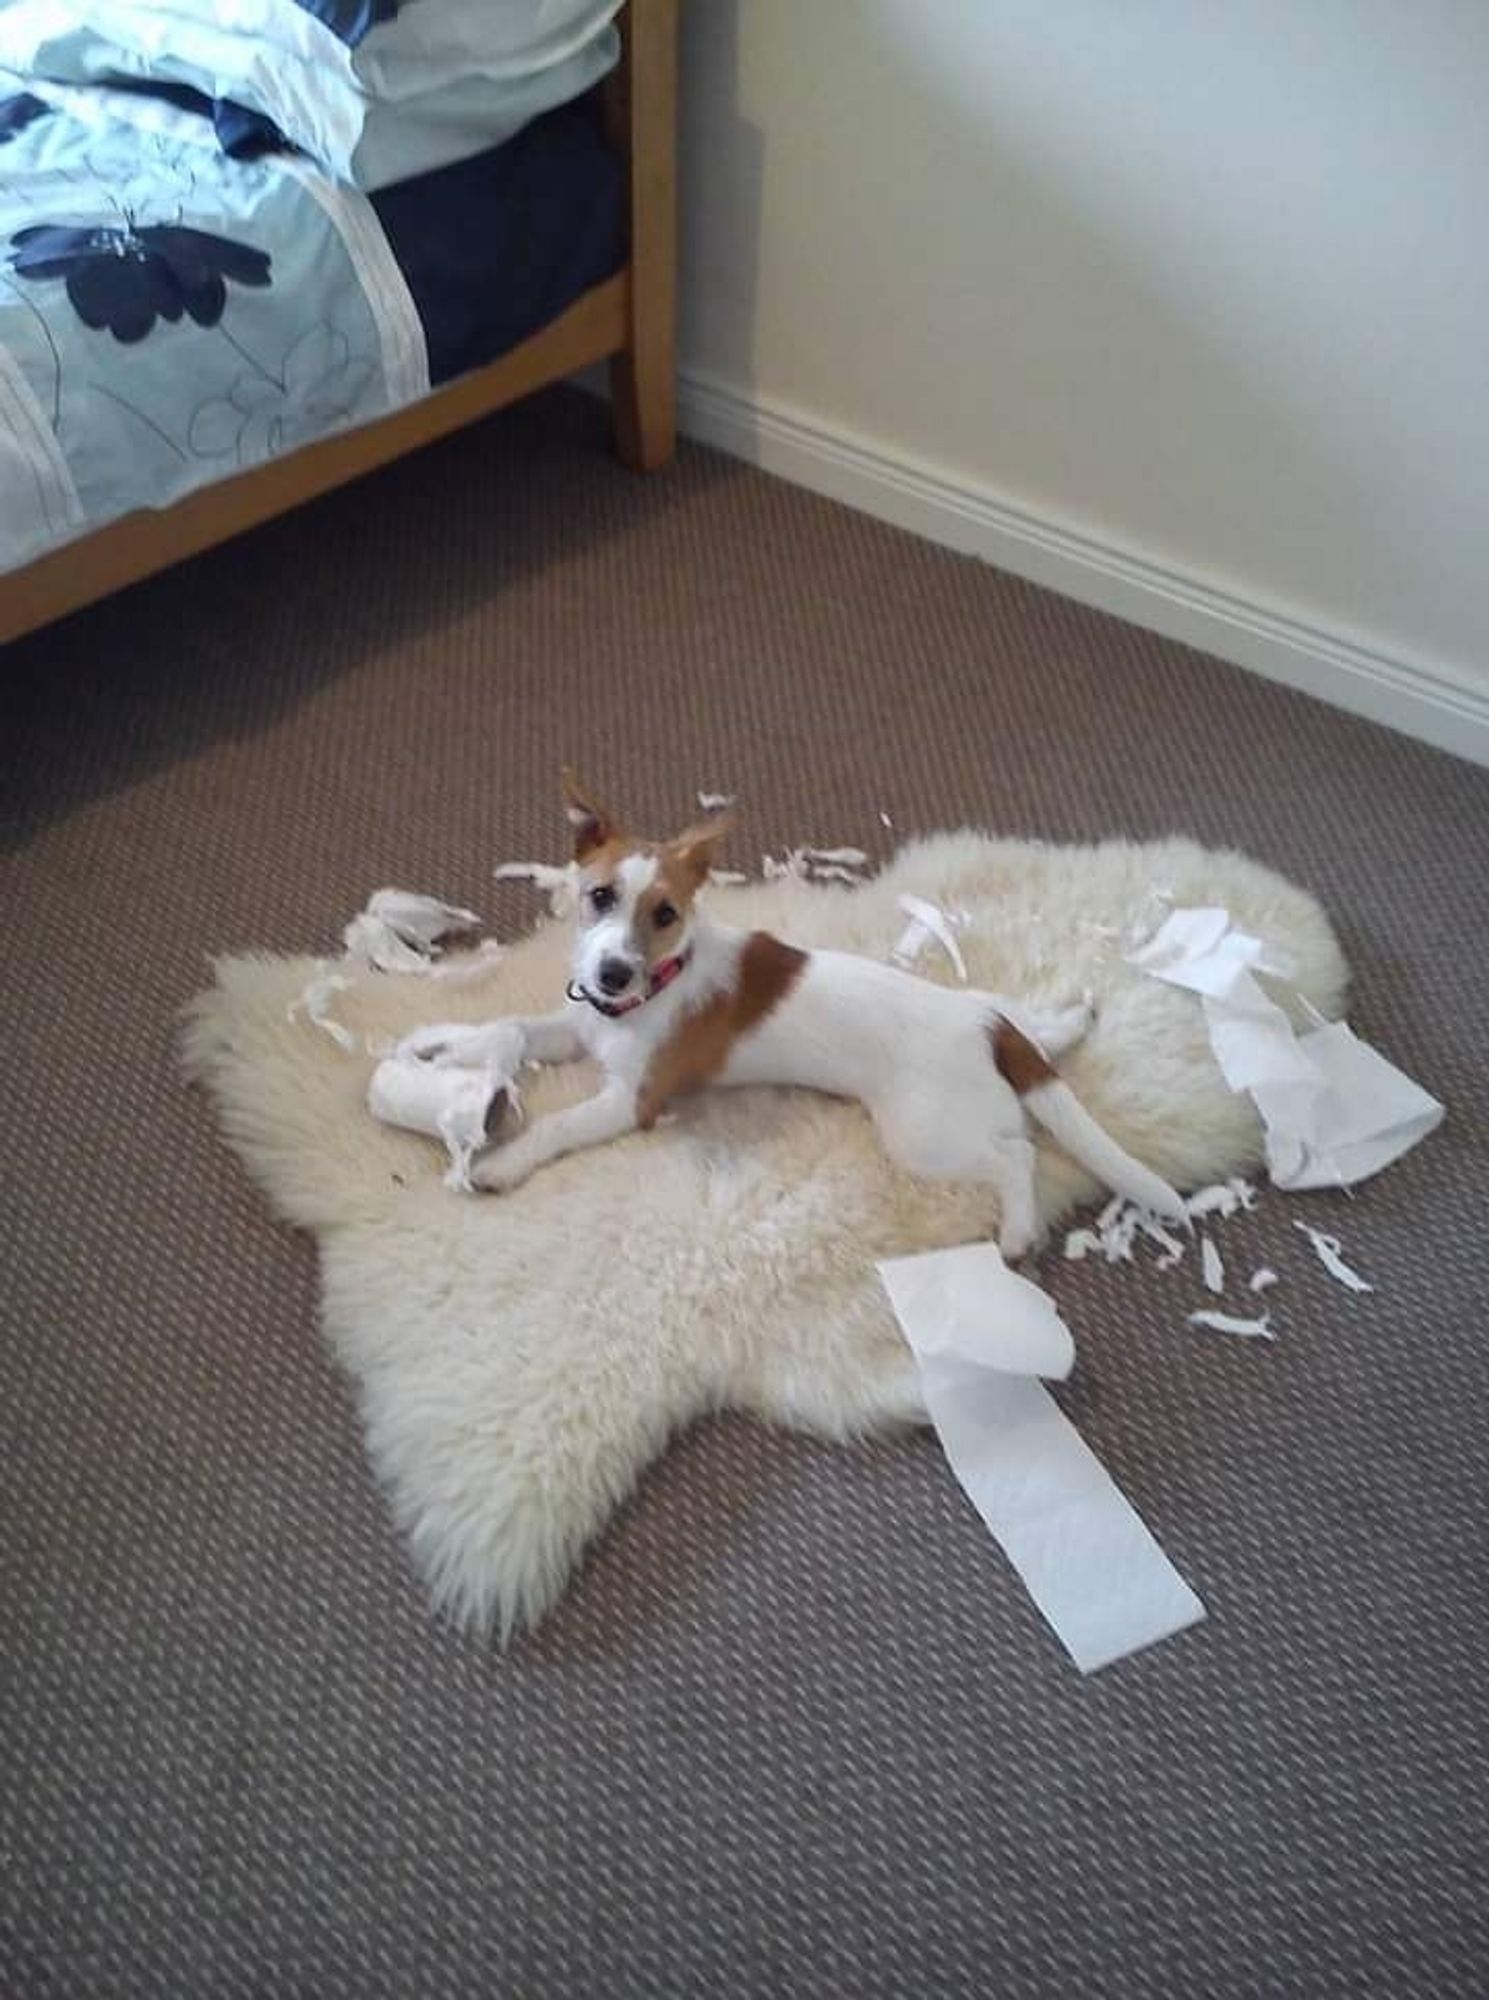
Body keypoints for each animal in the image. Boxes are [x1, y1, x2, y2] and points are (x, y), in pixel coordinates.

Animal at [398, 776, 1184, 1256]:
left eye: (664, 914)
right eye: (598, 897)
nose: (610, 974)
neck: (650, 991)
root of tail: (984, 1031)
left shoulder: (633, 1100)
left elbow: (557, 1125)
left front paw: (503, 1164)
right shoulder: (581, 1025)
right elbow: (515, 1028)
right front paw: (452, 1052)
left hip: (922, 1136)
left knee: (1014, 1155)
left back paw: (1018, 1228)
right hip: (988, 1040)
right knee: (1034, 1042)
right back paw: (1067, 1021)